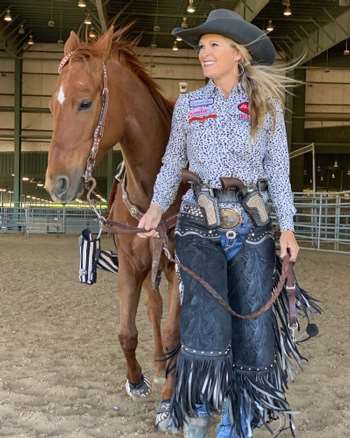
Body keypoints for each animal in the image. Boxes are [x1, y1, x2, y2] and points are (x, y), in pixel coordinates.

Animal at [45, 26, 182, 428]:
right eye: (51, 106)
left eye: (85, 103)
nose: (56, 184)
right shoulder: (131, 267)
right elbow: (127, 332)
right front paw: (137, 380)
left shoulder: (183, 270)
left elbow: (176, 333)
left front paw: (170, 402)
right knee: (153, 308)